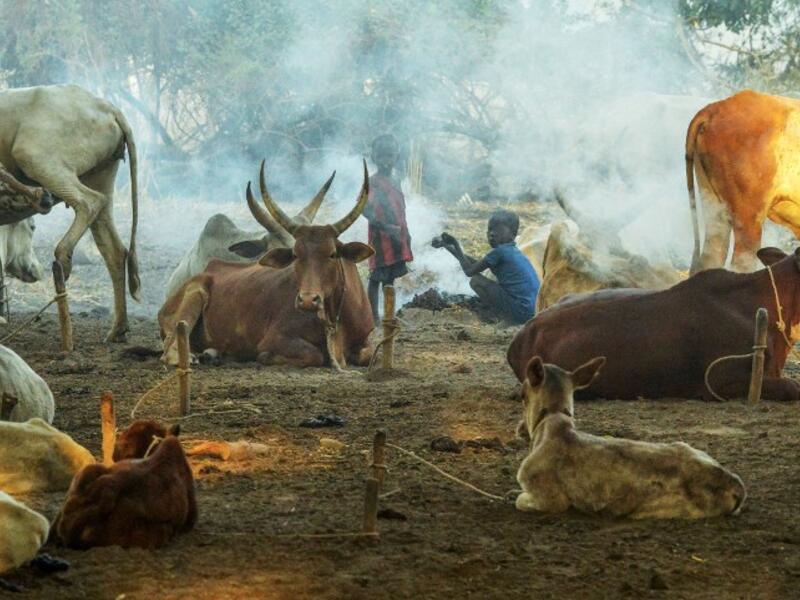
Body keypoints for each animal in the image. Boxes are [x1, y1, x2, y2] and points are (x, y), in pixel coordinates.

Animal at [0, 84, 140, 342]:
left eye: (33, 228)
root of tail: (106, 107)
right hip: (102, 174)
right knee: (114, 248)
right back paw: (118, 329)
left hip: (37, 158)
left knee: (89, 202)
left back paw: (63, 256)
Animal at [514, 356, 746, 518]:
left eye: (523, 395)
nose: (520, 429)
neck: (549, 424)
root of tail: (736, 485)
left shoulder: (550, 499)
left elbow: (518, 499)